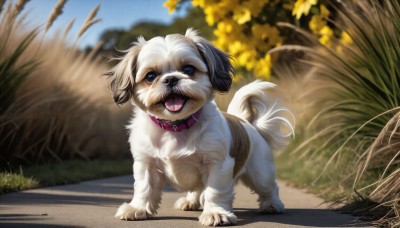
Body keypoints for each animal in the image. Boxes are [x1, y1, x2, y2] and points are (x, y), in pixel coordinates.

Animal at [105, 29, 294, 226]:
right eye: (150, 76)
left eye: (188, 70)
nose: (171, 79)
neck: (175, 127)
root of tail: (246, 122)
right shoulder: (146, 163)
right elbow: (144, 188)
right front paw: (138, 209)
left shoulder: (218, 164)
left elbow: (214, 191)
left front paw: (216, 213)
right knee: (196, 189)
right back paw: (190, 201)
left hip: (261, 172)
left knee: (269, 188)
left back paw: (272, 204)